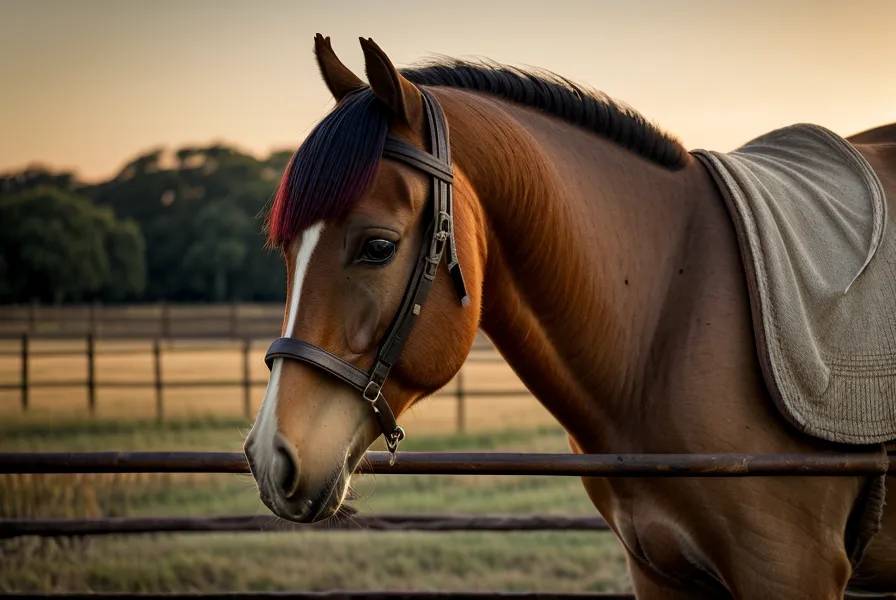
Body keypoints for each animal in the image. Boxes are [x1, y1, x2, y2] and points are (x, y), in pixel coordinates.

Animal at [243, 34, 896, 599]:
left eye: (377, 246)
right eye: (287, 249)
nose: (271, 458)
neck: (668, 316)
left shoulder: (788, 567)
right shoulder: (660, 573)